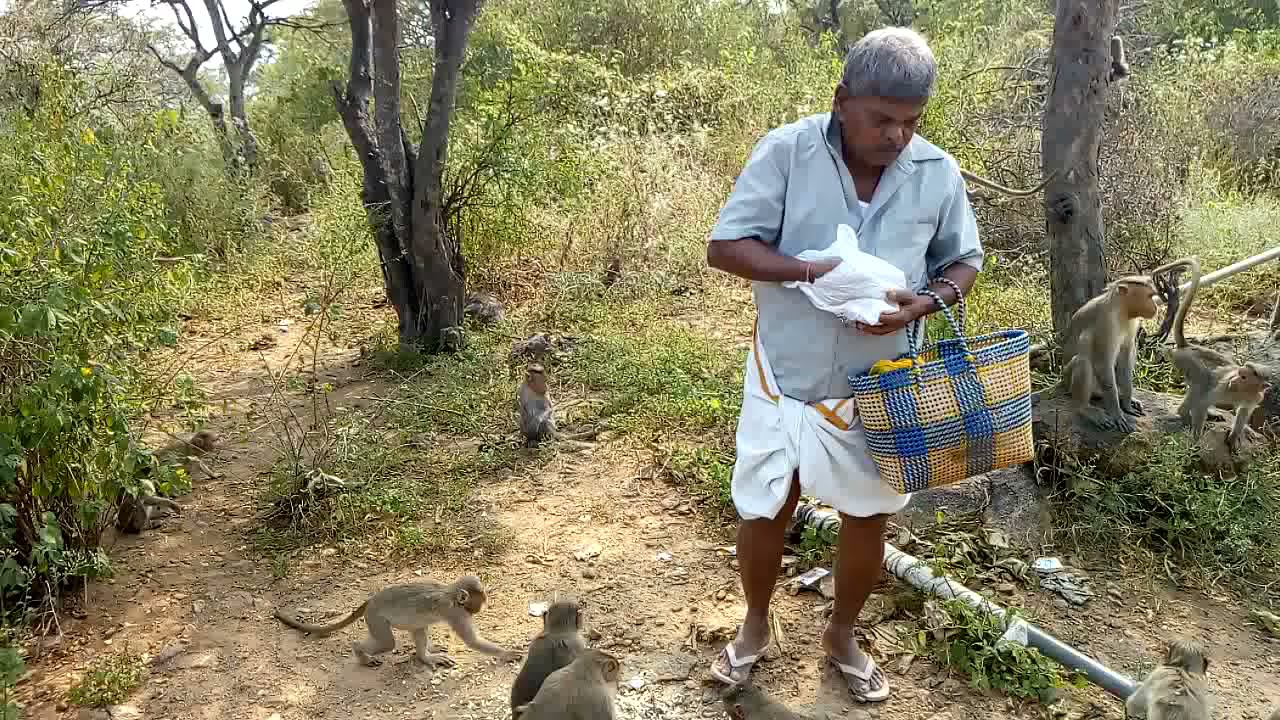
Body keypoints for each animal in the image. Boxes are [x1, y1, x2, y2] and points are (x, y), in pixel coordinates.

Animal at [273, 575, 520, 668]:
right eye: (478, 602)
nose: (478, 610)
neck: (451, 594)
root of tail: (372, 599)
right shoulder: (456, 613)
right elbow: (472, 641)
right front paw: (507, 653)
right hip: (375, 618)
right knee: (386, 643)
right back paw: (360, 653)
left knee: (418, 629)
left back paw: (425, 656)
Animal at [1047, 275, 1160, 433]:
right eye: (1150, 296)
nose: (1156, 307)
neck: (1121, 309)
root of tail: (1062, 382)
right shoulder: (1106, 323)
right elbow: (1102, 364)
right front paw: (1116, 413)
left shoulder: (1132, 322)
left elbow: (1125, 357)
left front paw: (1127, 404)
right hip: (1069, 380)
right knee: (1082, 361)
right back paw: (1084, 408)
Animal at [1164, 256, 1273, 452]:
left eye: (1243, 376)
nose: (1234, 379)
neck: (1241, 391)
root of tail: (1188, 346)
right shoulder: (1224, 387)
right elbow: (1202, 402)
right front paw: (1196, 441)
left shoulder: (1256, 397)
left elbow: (1243, 413)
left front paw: (1234, 437)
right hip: (1184, 360)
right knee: (1201, 383)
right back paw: (1184, 415)